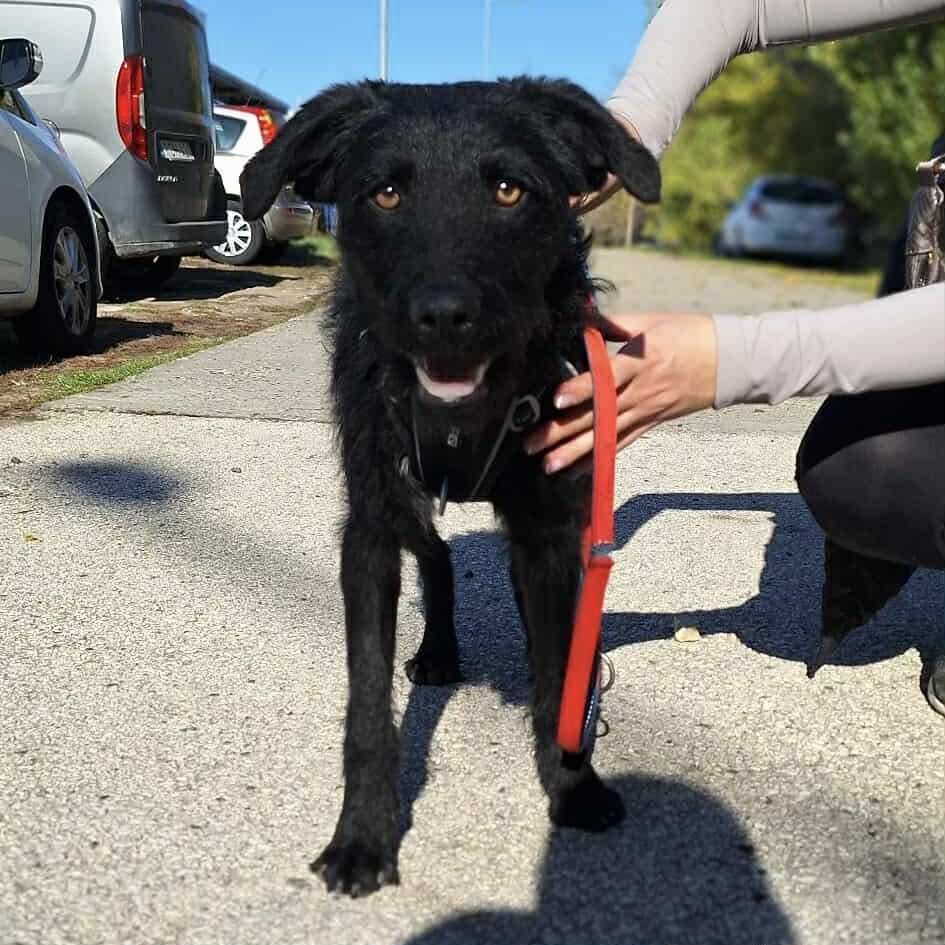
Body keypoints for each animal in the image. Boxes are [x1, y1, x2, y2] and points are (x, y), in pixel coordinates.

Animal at [240, 78, 660, 897]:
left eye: (508, 189)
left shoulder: (550, 530)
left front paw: (570, 781)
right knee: (435, 558)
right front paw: (362, 832)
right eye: (386, 192)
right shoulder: (370, 526)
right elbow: (368, 702)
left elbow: (557, 663)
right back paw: (437, 649)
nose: (442, 317)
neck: (464, 420)